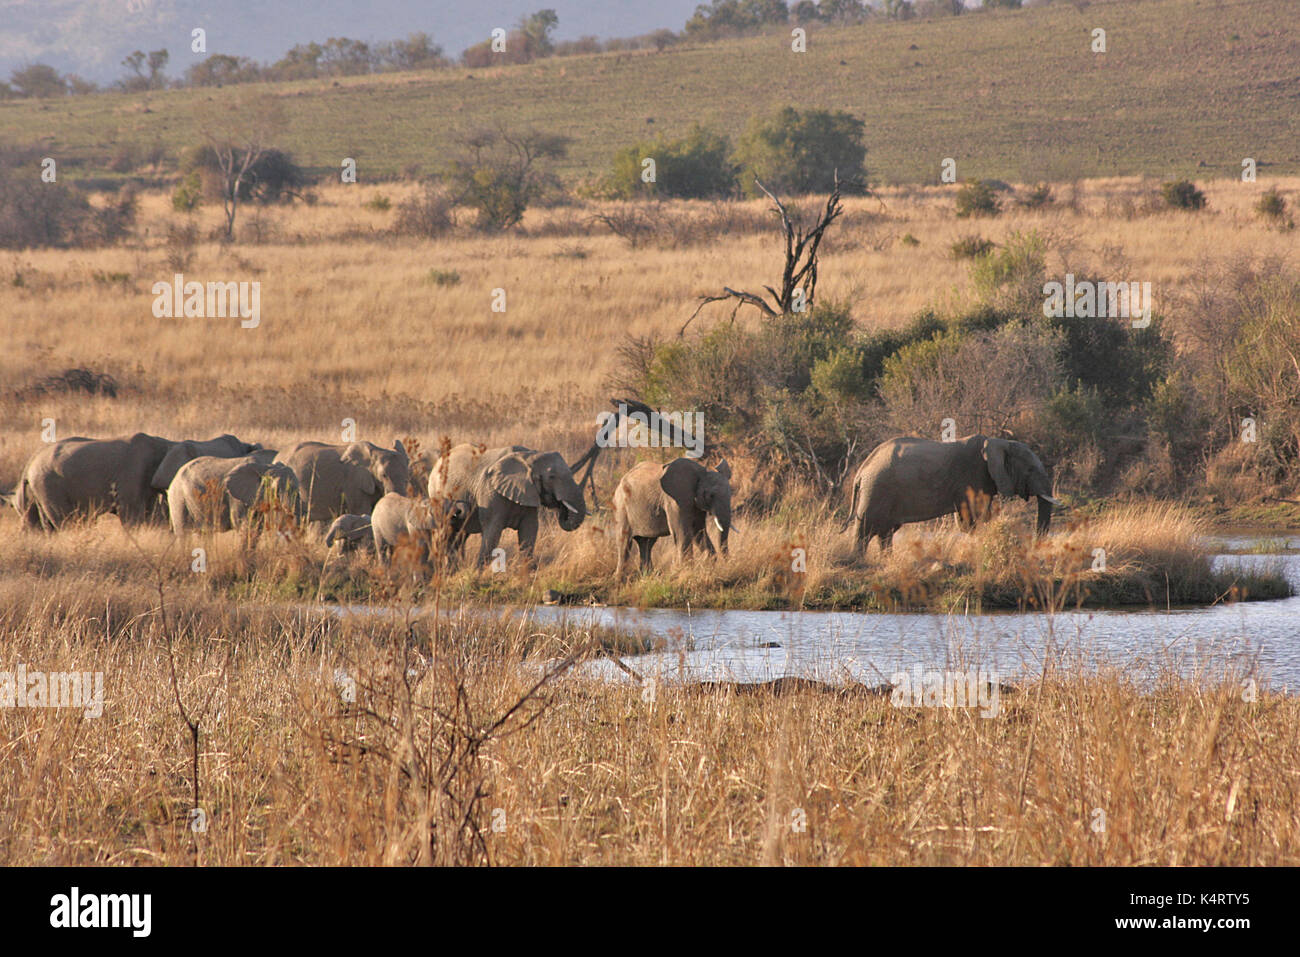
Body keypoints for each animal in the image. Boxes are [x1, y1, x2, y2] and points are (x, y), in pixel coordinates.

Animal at [8, 434, 260, 530]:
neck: (167, 443)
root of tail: (28, 467)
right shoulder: (134, 475)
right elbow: (133, 519)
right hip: (49, 484)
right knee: (66, 521)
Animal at [166, 447, 297, 530]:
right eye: (277, 491)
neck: (266, 466)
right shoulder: (236, 497)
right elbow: (245, 526)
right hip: (178, 497)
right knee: (184, 532)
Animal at [428, 442, 587, 566]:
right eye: (552, 477)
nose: (560, 506)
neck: (529, 456)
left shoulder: (528, 494)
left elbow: (529, 531)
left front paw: (527, 573)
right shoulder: (490, 491)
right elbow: (492, 532)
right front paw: (478, 574)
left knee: (459, 536)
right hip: (437, 497)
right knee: (444, 534)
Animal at [842, 431, 1055, 556]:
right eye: (1030, 470)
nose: (1035, 546)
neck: (999, 442)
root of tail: (862, 469)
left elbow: (968, 520)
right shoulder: (972, 476)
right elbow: (974, 519)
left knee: (885, 531)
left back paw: (886, 560)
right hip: (877, 489)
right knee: (865, 527)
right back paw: (858, 561)